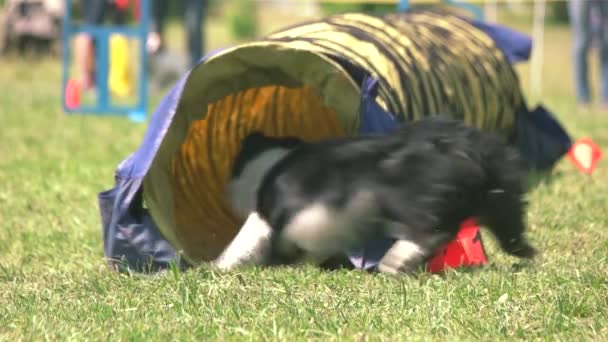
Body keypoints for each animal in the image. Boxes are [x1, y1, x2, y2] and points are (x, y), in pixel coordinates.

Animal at [214, 117, 536, 276]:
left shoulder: (273, 216)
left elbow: (242, 244)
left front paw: (216, 268)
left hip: (402, 195)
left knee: (432, 231)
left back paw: (396, 262)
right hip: (499, 197)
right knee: (509, 226)